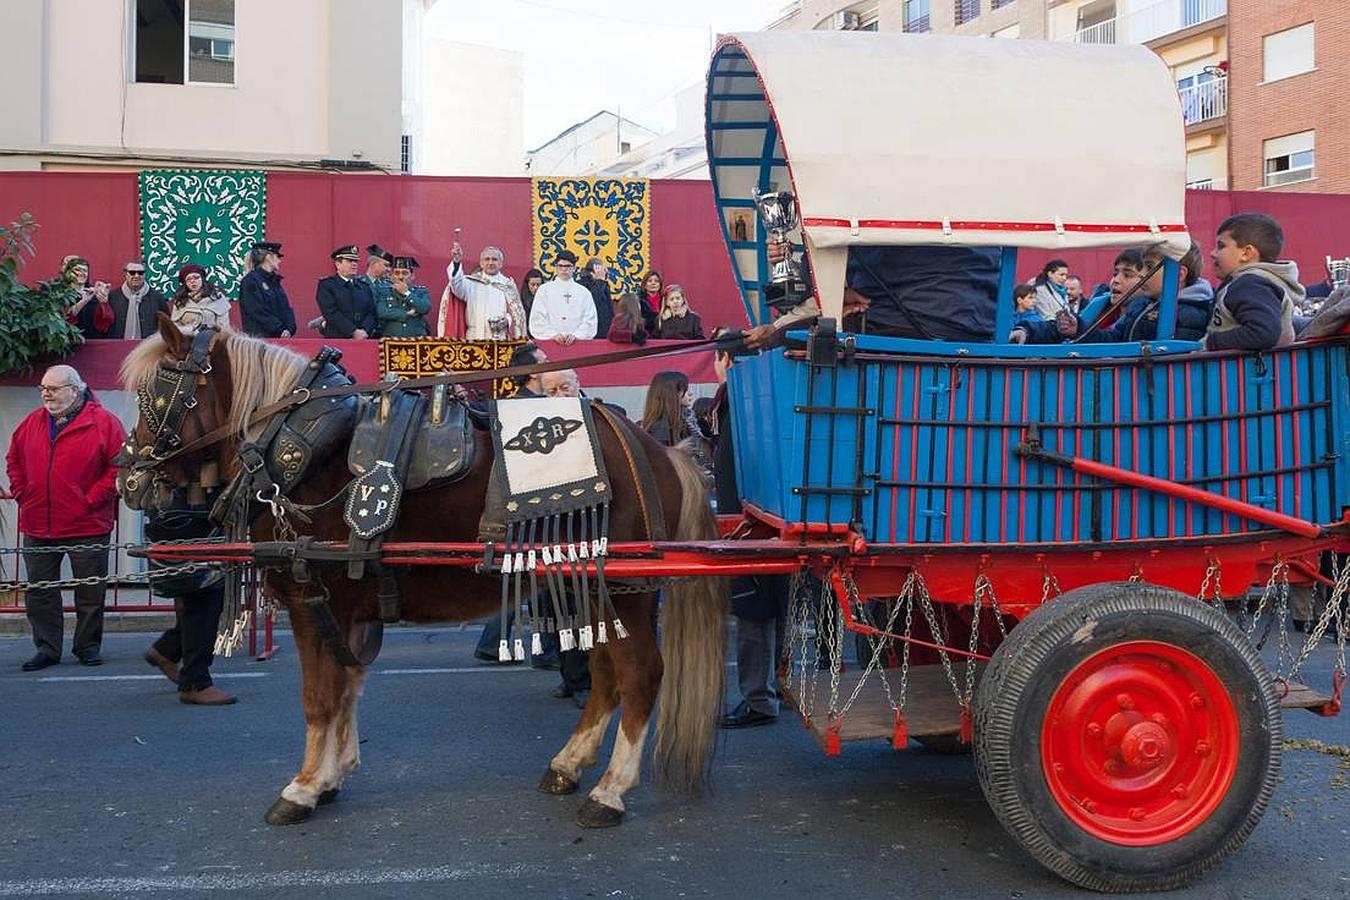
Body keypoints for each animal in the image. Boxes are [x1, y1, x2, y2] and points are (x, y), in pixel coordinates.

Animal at [118, 322, 729, 831]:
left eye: (155, 394)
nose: (128, 474)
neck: (297, 448)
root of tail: (658, 450)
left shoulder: (313, 600)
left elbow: (319, 696)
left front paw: (303, 787)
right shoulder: (349, 611)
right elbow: (347, 687)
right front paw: (333, 773)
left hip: (624, 591)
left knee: (641, 675)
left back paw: (610, 792)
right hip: (588, 586)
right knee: (605, 676)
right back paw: (569, 764)